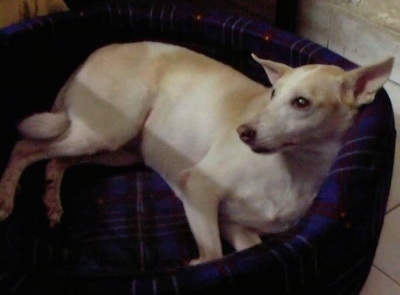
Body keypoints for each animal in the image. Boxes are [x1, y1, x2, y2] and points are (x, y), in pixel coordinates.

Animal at [0, 41, 394, 266]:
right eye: (272, 94)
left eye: (301, 102)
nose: (243, 132)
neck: (293, 169)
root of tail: (91, 55)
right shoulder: (199, 189)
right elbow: (212, 257)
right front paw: (194, 266)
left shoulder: (234, 225)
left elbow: (244, 251)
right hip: (108, 129)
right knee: (23, 146)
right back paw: (6, 198)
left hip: (118, 149)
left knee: (55, 159)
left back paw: (51, 200)